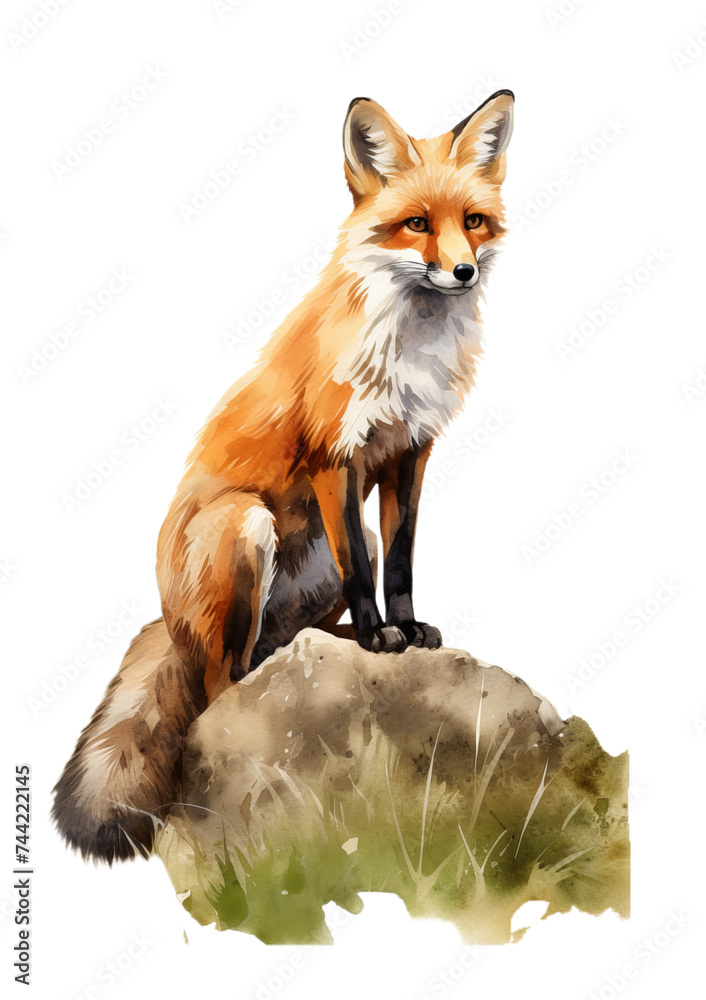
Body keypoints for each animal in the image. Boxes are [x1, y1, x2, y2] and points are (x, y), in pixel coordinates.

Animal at [53, 90, 514, 863]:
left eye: (471, 222)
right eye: (417, 224)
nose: (463, 273)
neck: (408, 347)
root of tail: (167, 618)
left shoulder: (410, 454)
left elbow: (400, 563)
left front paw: (404, 628)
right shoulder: (337, 456)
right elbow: (362, 568)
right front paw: (379, 637)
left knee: (275, 646)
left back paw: (326, 644)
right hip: (246, 527)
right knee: (221, 685)